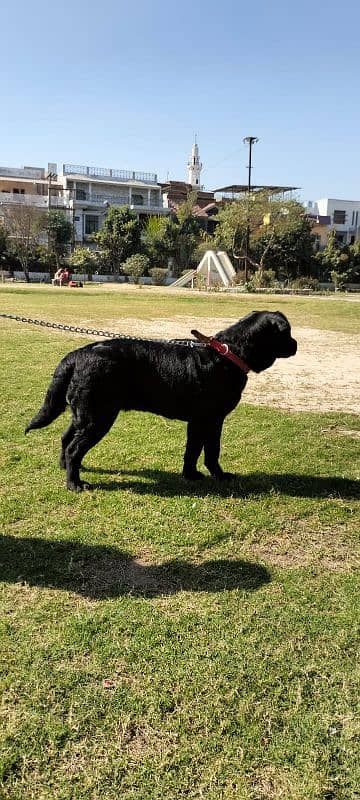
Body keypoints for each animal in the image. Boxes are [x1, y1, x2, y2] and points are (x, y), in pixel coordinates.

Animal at [24, 310, 296, 488]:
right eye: (288, 333)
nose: (296, 344)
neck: (228, 354)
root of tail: (77, 354)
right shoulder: (212, 419)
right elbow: (211, 451)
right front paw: (219, 476)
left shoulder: (197, 422)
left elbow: (192, 450)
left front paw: (190, 475)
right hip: (98, 418)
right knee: (73, 448)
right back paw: (75, 483)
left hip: (83, 413)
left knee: (65, 438)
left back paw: (66, 469)